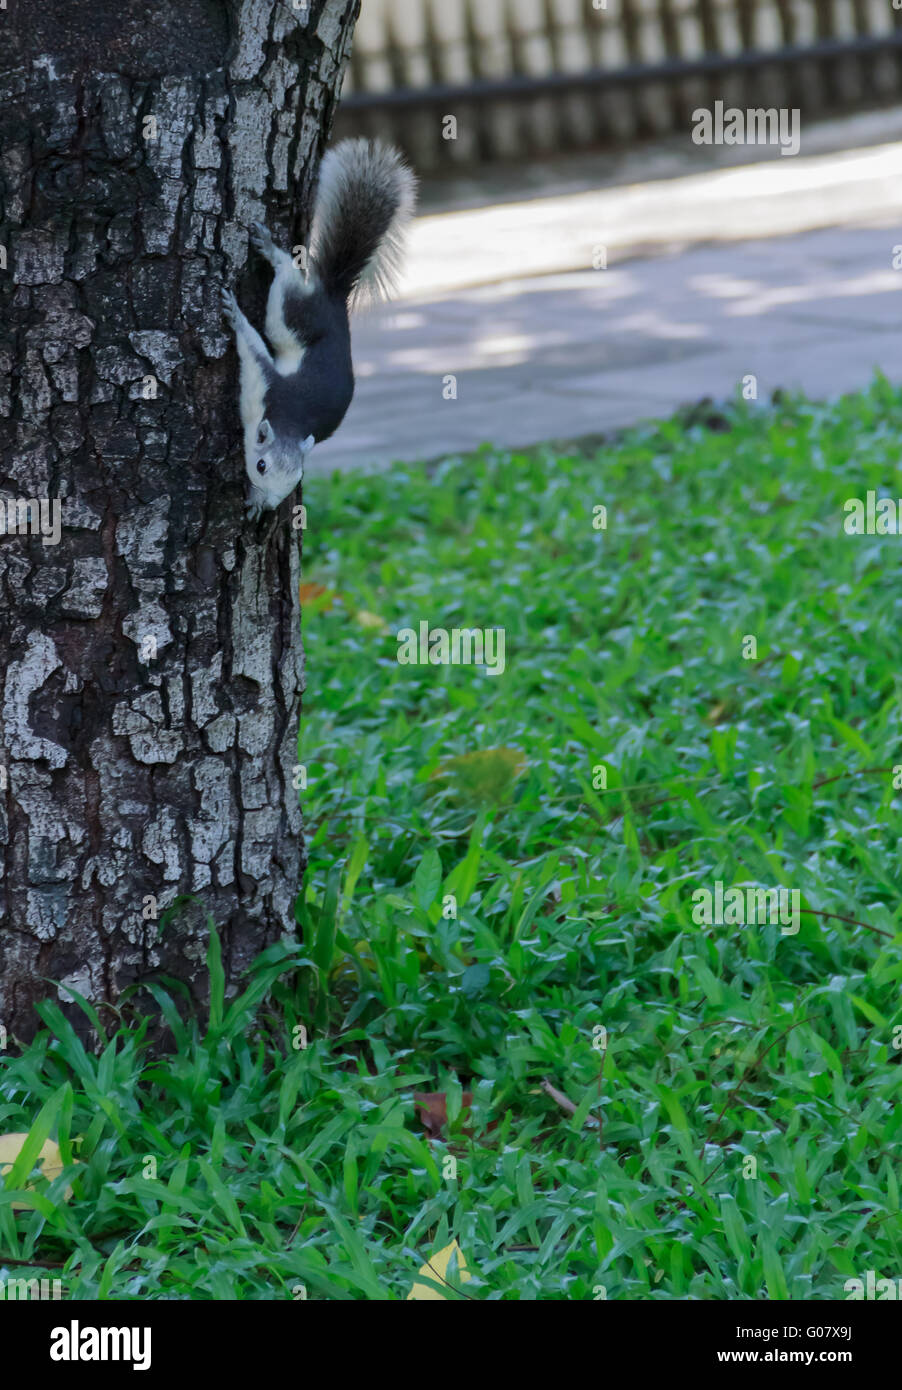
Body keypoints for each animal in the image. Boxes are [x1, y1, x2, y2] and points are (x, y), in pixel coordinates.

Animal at [219, 138, 416, 519]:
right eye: (261, 466)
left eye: (297, 478)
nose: (270, 504)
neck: (291, 420)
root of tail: (335, 297)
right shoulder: (266, 384)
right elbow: (252, 348)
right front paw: (235, 314)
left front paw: (254, 504)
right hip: (292, 314)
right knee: (286, 281)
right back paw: (271, 251)